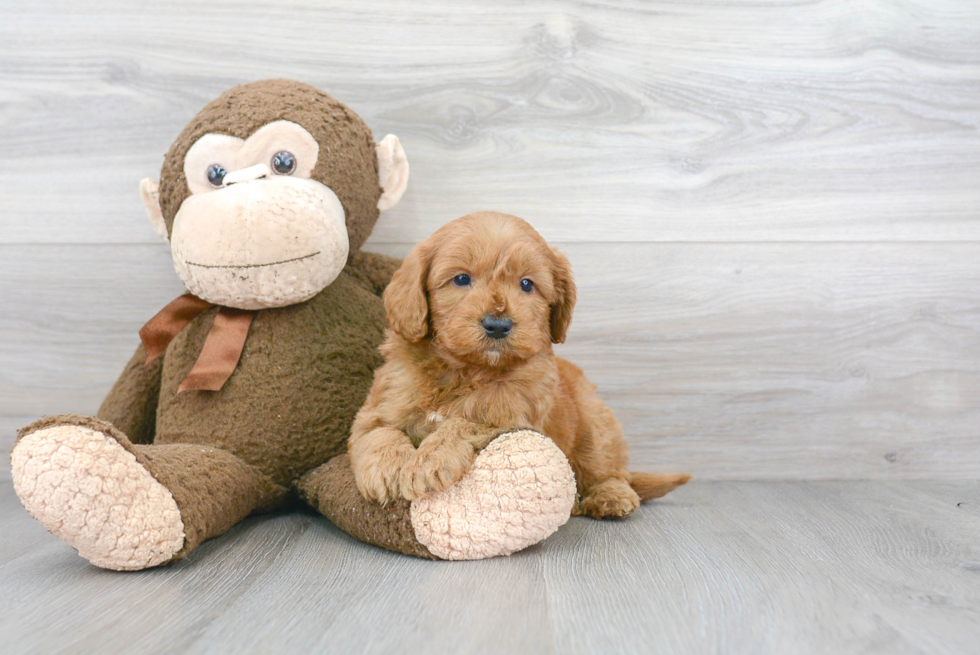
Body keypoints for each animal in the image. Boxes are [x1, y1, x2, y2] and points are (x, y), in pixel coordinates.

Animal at [346, 213, 688, 520]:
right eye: (461, 279)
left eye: (526, 284)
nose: (498, 325)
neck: (464, 370)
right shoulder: (379, 405)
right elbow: (380, 432)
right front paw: (387, 471)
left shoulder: (513, 417)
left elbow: (465, 422)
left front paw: (429, 461)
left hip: (596, 423)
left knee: (608, 469)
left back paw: (611, 496)